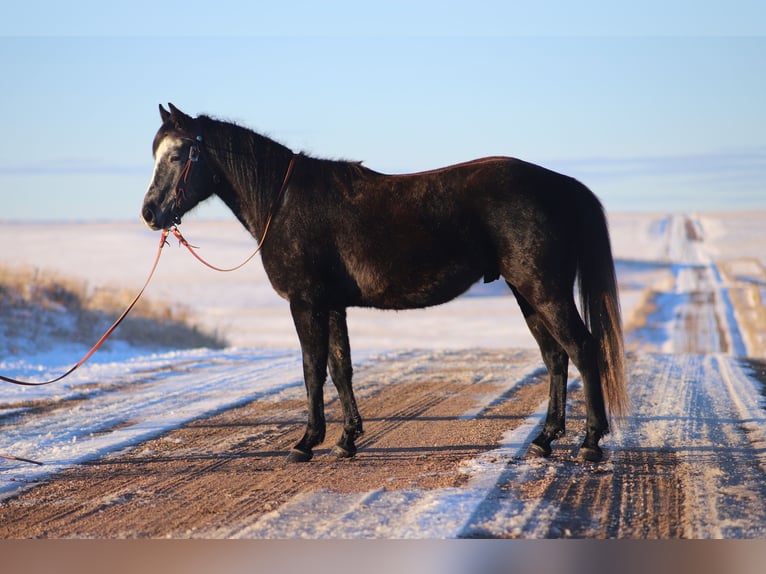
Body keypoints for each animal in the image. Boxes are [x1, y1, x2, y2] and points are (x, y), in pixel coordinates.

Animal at [141, 102, 628, 464]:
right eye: (155, 153)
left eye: (180, 155)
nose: (150, 214)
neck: (284, 204)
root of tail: (561, 185)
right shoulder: (332, 305)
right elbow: (340, 369)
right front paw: (346, 440)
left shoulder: (306, 303)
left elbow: (312, 369)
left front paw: (306, 443)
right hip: (526, 292)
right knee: (555, 357)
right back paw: (545, 440)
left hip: (544, 290)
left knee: (582, 349)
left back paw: (590, 443)